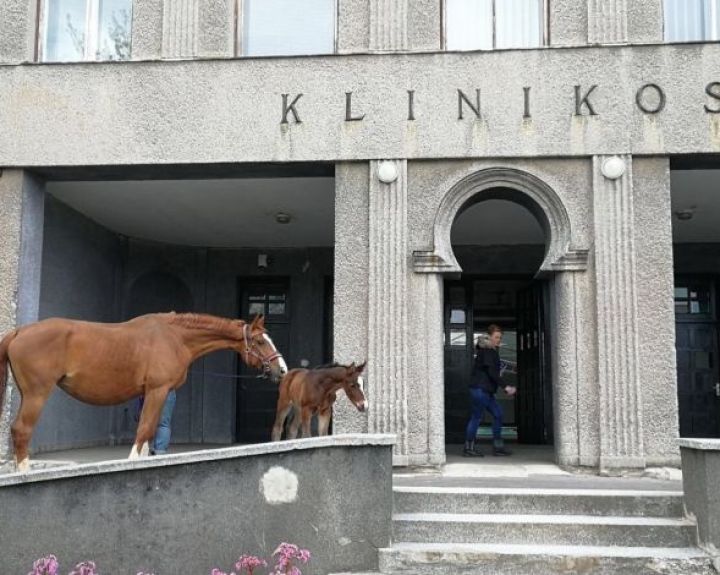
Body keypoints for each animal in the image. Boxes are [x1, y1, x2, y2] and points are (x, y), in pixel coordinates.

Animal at [0, 316, 286, 472]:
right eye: (260, 341)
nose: (281, 369)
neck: (174, 337)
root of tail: (20, 331)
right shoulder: (157, 391)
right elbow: (145, 429)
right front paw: (133, 461)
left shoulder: (155, 394)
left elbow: (150, 431)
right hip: (37, 394)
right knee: (21, 430)